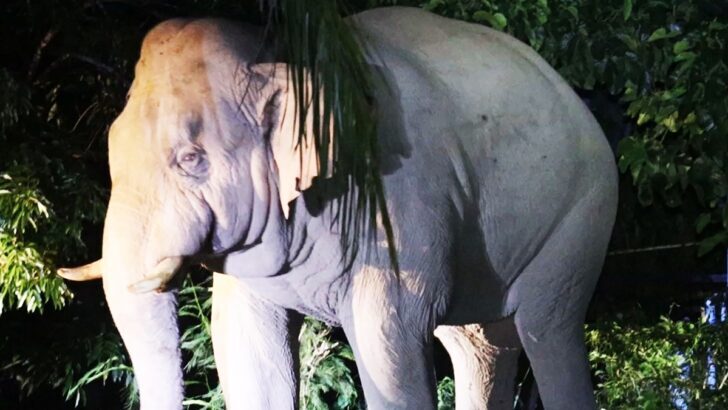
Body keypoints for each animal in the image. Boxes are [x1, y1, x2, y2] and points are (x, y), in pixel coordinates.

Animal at [58, 6, 618, 410]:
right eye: (110, 148)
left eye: (191, 159)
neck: (282, 60)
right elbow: (245, 346)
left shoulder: (398, 202)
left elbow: (389, 340)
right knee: (481, 347)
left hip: (582, 217)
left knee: (548, 330)